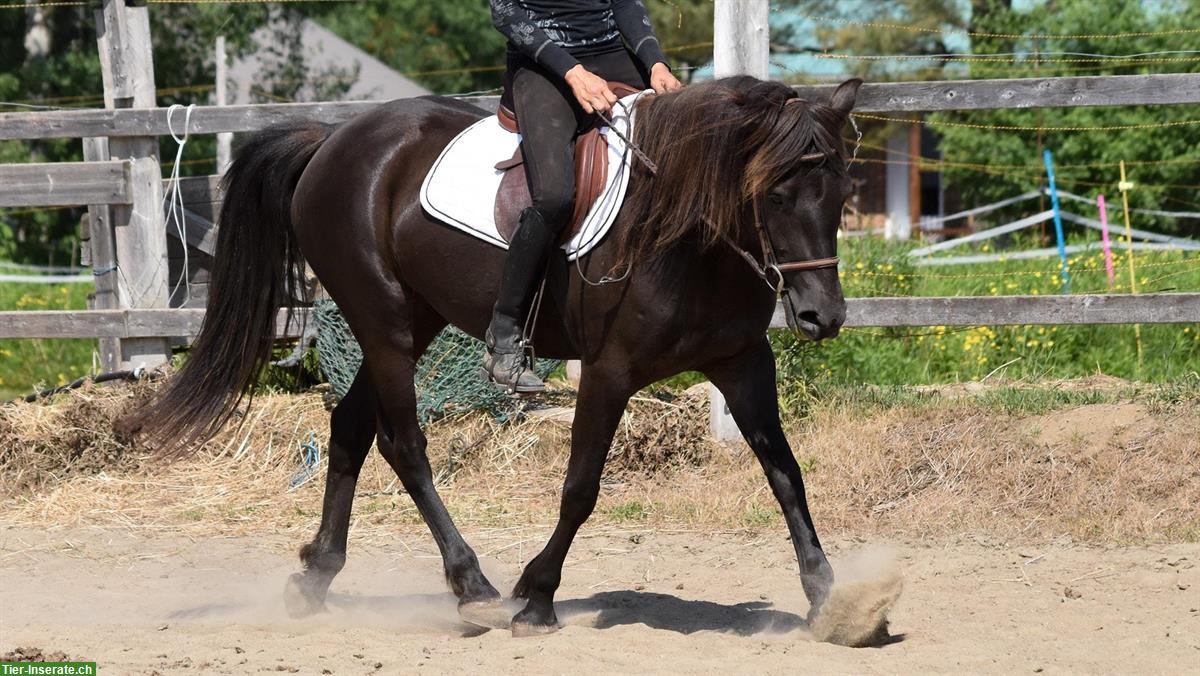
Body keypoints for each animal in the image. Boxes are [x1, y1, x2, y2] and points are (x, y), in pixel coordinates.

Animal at [126, 76, 864, 638]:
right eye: (775, 193)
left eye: (840, 194)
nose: (822, 317)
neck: (689, 235)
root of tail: (332, 140)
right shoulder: (609, 373)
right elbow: (580, 489)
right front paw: (536, 597)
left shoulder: (743, 364)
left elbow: (786, 474)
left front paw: (831, 598)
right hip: (385, 325)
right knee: (403, 444)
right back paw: (471, 584)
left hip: (414, 319)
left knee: (351, 430)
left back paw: (317, 575)